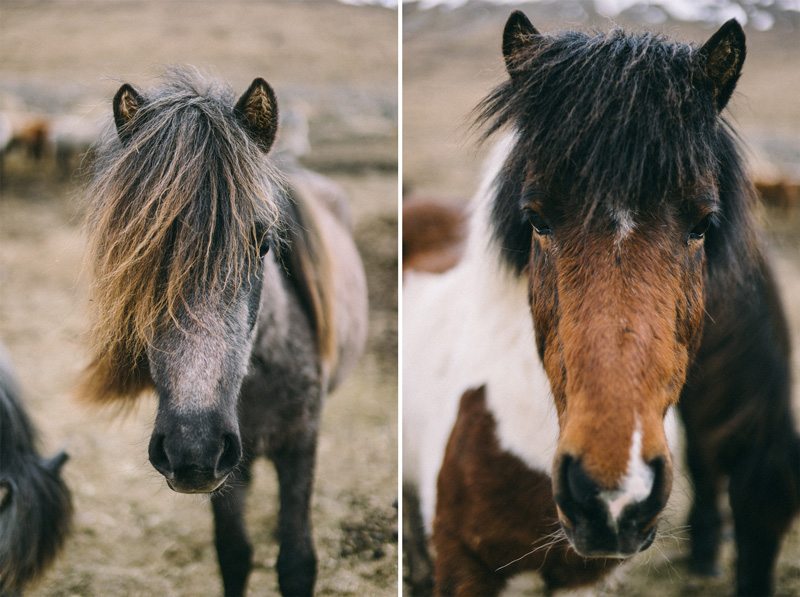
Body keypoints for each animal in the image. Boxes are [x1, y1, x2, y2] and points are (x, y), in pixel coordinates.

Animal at [79, 67, 368, 592]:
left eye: (262, 241)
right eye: (137, 248)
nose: (193, 448)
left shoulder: (301, 443)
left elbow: (297, 562)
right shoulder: (227, 468)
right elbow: (233, 553)